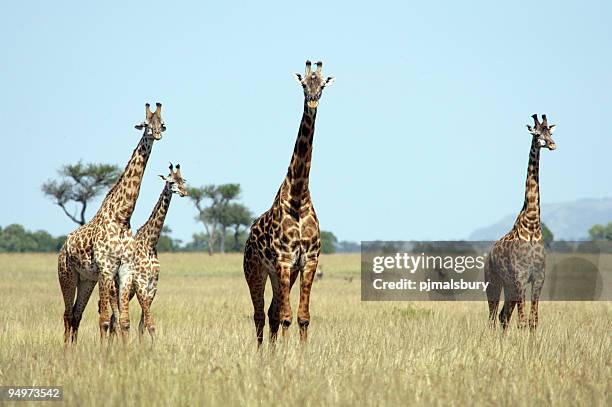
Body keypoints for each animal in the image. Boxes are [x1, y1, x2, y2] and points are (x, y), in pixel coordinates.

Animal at [57, 103, 166, 344]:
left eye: (162, 123)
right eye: (146, 123)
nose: (157, 134)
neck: (121, 216)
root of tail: (63, 248)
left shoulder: (125, 269)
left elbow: (124, 321)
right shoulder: (106, 269)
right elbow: (105, 320)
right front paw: (104, 352)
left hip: (86, 279)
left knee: (76, 314)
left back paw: (74, 350)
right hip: (67, 275)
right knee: (68, 315)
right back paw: (67, 351)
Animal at [126, 164, 186, 342]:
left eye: (183, 180)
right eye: (171, 181)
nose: (184, 192)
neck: (150, 242)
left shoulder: (152, 286)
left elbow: (143, 325)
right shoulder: (140, 282)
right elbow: (150, 324)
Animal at [243, 61, 334, 348]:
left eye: (322, 84)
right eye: (304, 84)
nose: (313, 100)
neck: (298, 197)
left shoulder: (308, 261)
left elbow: (302, 316)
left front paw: (300, 354)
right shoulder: (283, 261)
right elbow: (286, 316)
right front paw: (287, 354)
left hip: (281, 274)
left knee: (271, 312)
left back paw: (271, 352)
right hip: (255, 270)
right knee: (260, 314)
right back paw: (262, 353)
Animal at [486, 114, 556, 332]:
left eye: (550, 132)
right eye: (537, 134)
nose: (552, 144)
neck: (532, 224)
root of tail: (488, 254)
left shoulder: (539, 277)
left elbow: (533, 321)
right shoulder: (520, 276)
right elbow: (523, 321)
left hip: (508, 287)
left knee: (503, 316)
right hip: (494, 281)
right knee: (493, 317)